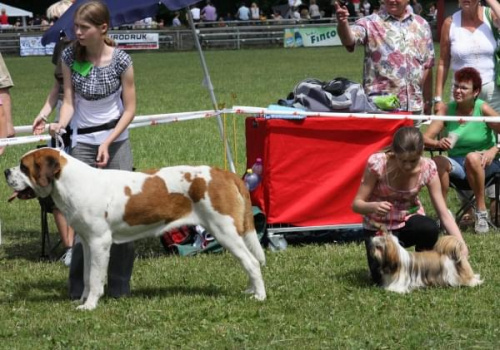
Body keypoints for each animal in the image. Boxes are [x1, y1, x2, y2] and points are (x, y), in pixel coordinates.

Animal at [3, 148, 268, 308]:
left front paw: (89, 306)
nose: (6, 171)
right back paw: (250, 290)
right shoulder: (88, 243)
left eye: (24, 167)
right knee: (248, 261)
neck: (73, 182)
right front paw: (83, 299)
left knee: (252, 262)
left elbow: (96, 277)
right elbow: (88, 276)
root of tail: (225, 174)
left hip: (224, 230)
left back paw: (260, 296)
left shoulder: (100, 242)